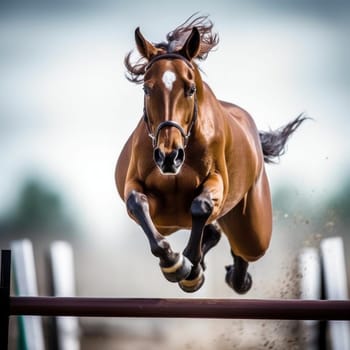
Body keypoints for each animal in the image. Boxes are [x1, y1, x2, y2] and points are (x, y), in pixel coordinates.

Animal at [115, 15, 306, 294]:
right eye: (147, 90)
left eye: (190, 89)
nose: (168, 157)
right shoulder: (140, 191)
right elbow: (137, 203)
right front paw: (173, 263)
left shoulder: (216, 183)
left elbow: (201, 205)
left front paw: (188, 267)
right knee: (215, 232)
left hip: (253, 230)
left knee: (243, 248)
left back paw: (232, 276)